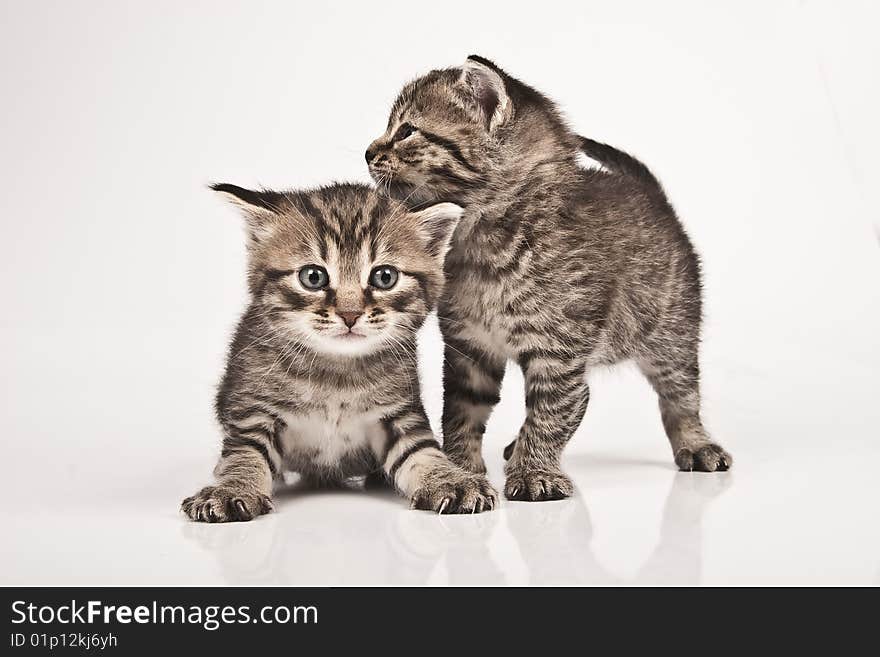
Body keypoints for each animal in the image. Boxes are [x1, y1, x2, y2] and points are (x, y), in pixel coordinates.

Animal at [180, 182, 496, 520]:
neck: (335, 373)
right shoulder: (254, 410)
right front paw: (231, 489)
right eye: (313, 276)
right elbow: (245, 455)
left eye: (385, 277)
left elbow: (423, 452)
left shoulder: (400, 414)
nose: (349, 314)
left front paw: (450, 480)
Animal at [368, 57, 732, 502]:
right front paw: (459, 468)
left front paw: (534, 472)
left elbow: (551, 412)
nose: (368, 151)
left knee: (680, 393)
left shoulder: (560, 352)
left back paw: (696, 444)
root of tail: (654, 196)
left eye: (406, 130)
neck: (483, 248)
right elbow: (460, 413)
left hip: (671, 331)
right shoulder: (468, 351)